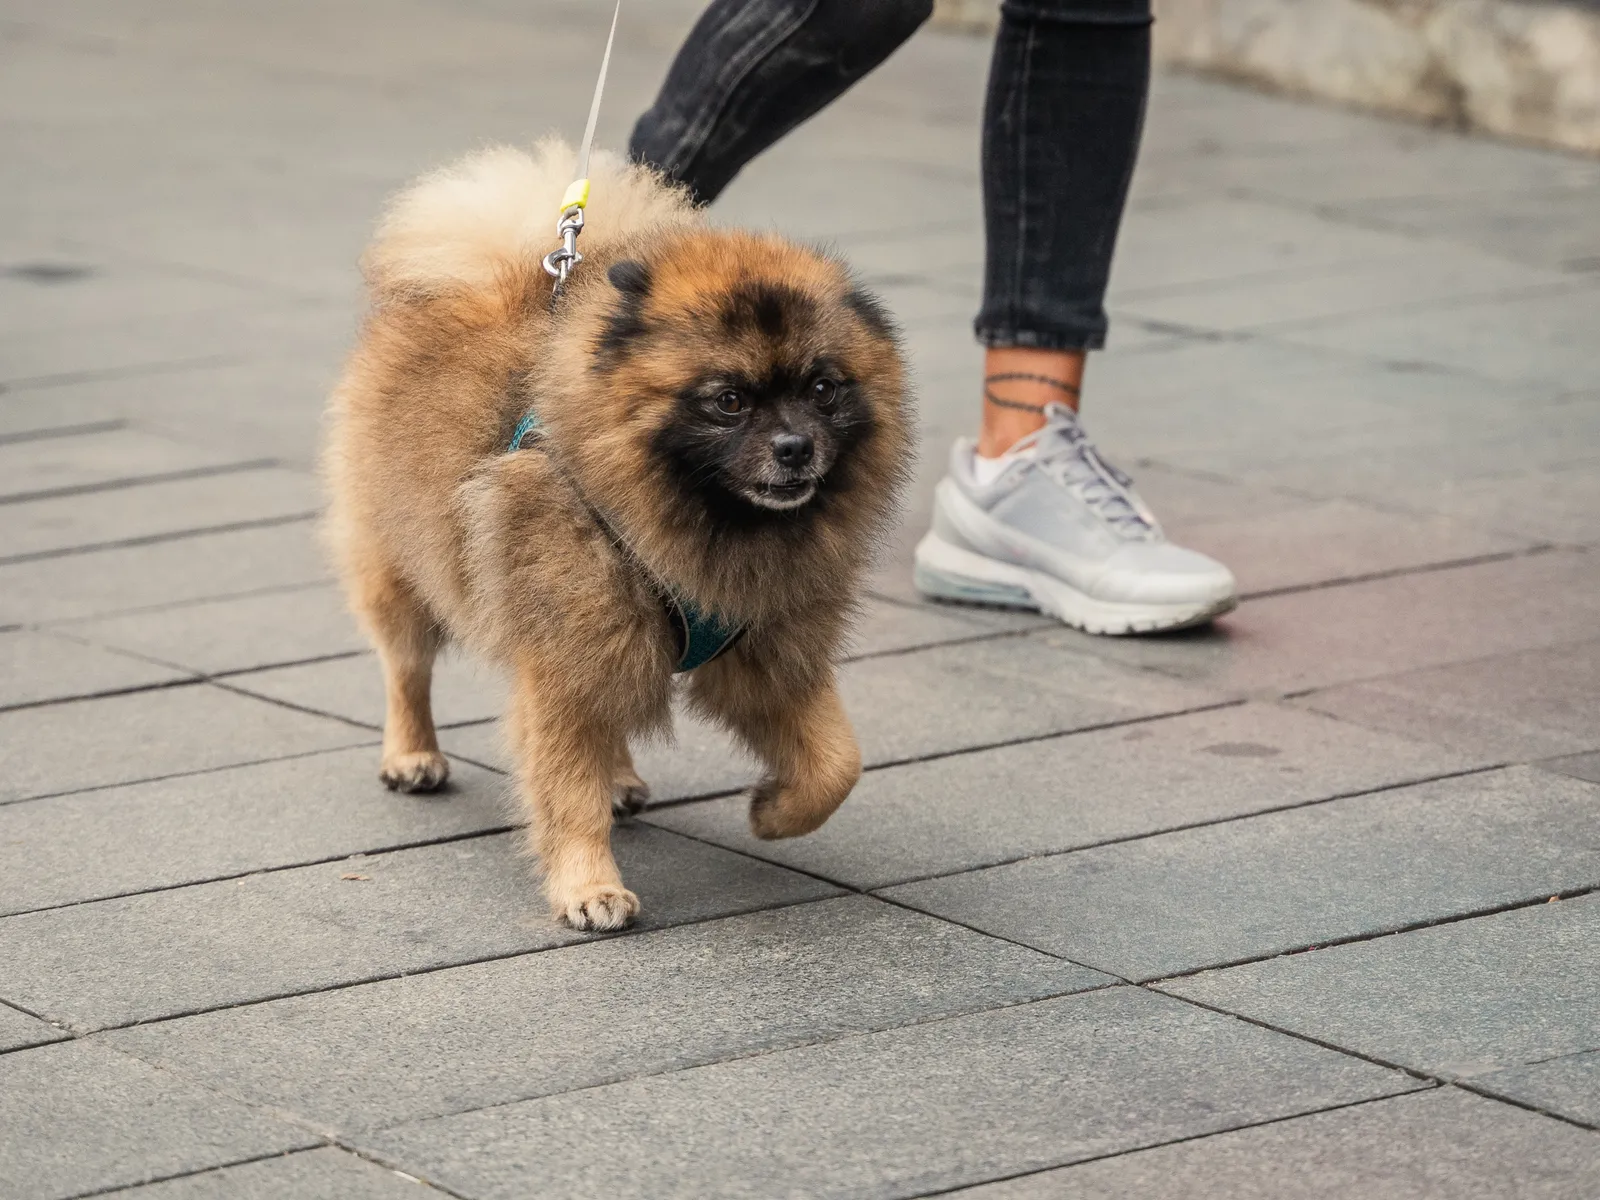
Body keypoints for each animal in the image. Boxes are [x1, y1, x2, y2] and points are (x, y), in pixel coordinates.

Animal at [324, 140, 915, 928]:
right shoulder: (566, 662)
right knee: (407, 665)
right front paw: (589, 888)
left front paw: (772, 812)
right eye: (728, 402)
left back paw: (621, 777)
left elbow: (838, 761)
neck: (698, 524)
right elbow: (568, 788)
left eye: (823, 389)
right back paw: (412, 754)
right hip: (405, 565)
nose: (795, 447)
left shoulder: (766, 647)